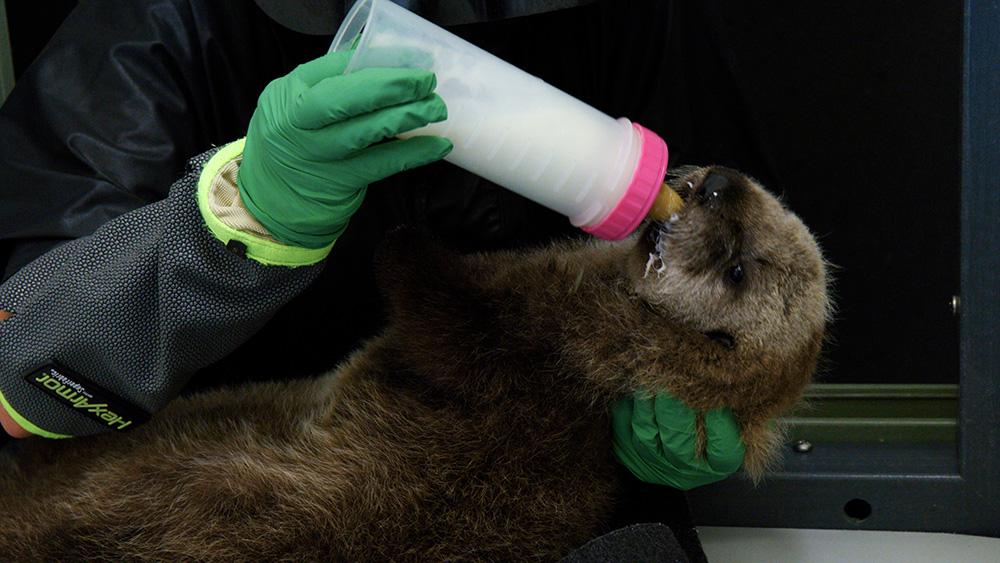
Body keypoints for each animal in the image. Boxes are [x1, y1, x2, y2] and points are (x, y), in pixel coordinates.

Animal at [0, 166, 830, 562]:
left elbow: (439, 303)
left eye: (738, 271)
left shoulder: (535, 336)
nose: (719, 182)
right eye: (763, 199)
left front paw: (402, 231)